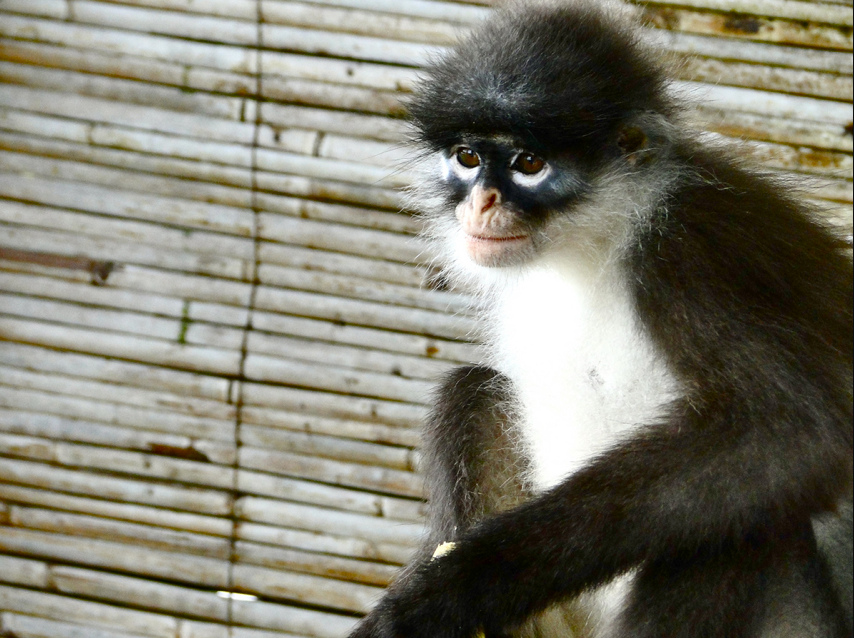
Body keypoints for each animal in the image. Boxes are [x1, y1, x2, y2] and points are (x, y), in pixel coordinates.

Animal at [349, 2, 853, 637]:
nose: (482, 202)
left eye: (529, 164)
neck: (589, 241)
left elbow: (795, 433)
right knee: (471, 394)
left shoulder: (685, 248)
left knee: (744, 519)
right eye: (468, 158)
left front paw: (449, 591)